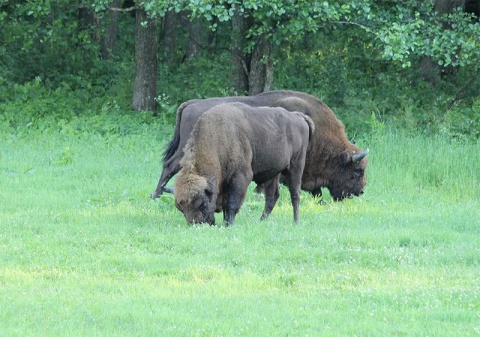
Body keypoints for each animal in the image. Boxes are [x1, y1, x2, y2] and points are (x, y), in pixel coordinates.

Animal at [152, 88, 370, 200]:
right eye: (357, 171)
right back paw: (156, 195)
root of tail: (190, 104)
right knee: (170, 166)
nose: (360, 191)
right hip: (187, 149)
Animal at [174, 101, 314, 224]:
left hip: (296, 166)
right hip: (274, 172)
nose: (196, 223)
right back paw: (261, 221)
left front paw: (229, 224)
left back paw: (295, 222)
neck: (219, 137)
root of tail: (299, 117)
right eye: (180, 208)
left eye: (202, 203)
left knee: (295, 194)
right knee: (272, 196)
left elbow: (232, 203)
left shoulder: (241, 177)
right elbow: (225, 204)